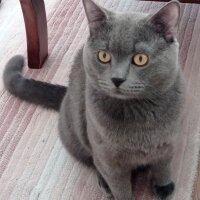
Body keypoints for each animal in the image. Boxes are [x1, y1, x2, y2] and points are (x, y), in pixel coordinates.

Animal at [2, 0, 185, 199]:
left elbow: (163, 166)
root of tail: (66, 95)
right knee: (93, 161)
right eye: (104, 56)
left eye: (140, 59)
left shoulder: (168, 144)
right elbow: (120, 186)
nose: (117, 79)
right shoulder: (109, 159)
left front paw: (164, 186)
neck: (140, 119)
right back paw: (104, 184)